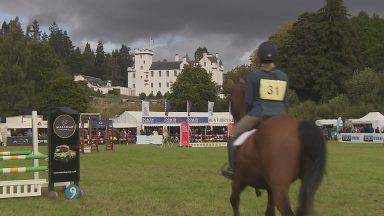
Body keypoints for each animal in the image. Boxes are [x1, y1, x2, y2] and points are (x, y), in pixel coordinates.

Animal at [226, 79, 326, 216]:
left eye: (230, 99)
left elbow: (234, 201)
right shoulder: (270, 189)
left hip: (280, 186)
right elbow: (269, 211)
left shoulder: (239, 180)